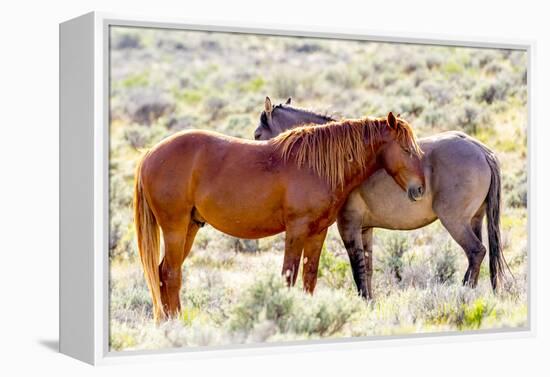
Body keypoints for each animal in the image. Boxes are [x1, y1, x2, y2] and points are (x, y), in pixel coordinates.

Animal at [135, 108, 426, 320]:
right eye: (406, 149)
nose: (420, 189)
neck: (315, 165)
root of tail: (150, 154)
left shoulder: (318, 232)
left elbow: (309, 277)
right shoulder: (296, 230)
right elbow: (289, 275)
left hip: (190, 228)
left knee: (163, 273)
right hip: (174, 228)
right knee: (171, 274)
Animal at [256, 97, 508, 300]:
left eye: (258, 135)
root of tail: (481, 150)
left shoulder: (348, 225)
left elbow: (357, 268)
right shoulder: (365, 229)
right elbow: (367, 269)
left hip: (454, 221)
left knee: (476, 252)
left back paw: (462, 292)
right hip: (474, 220)